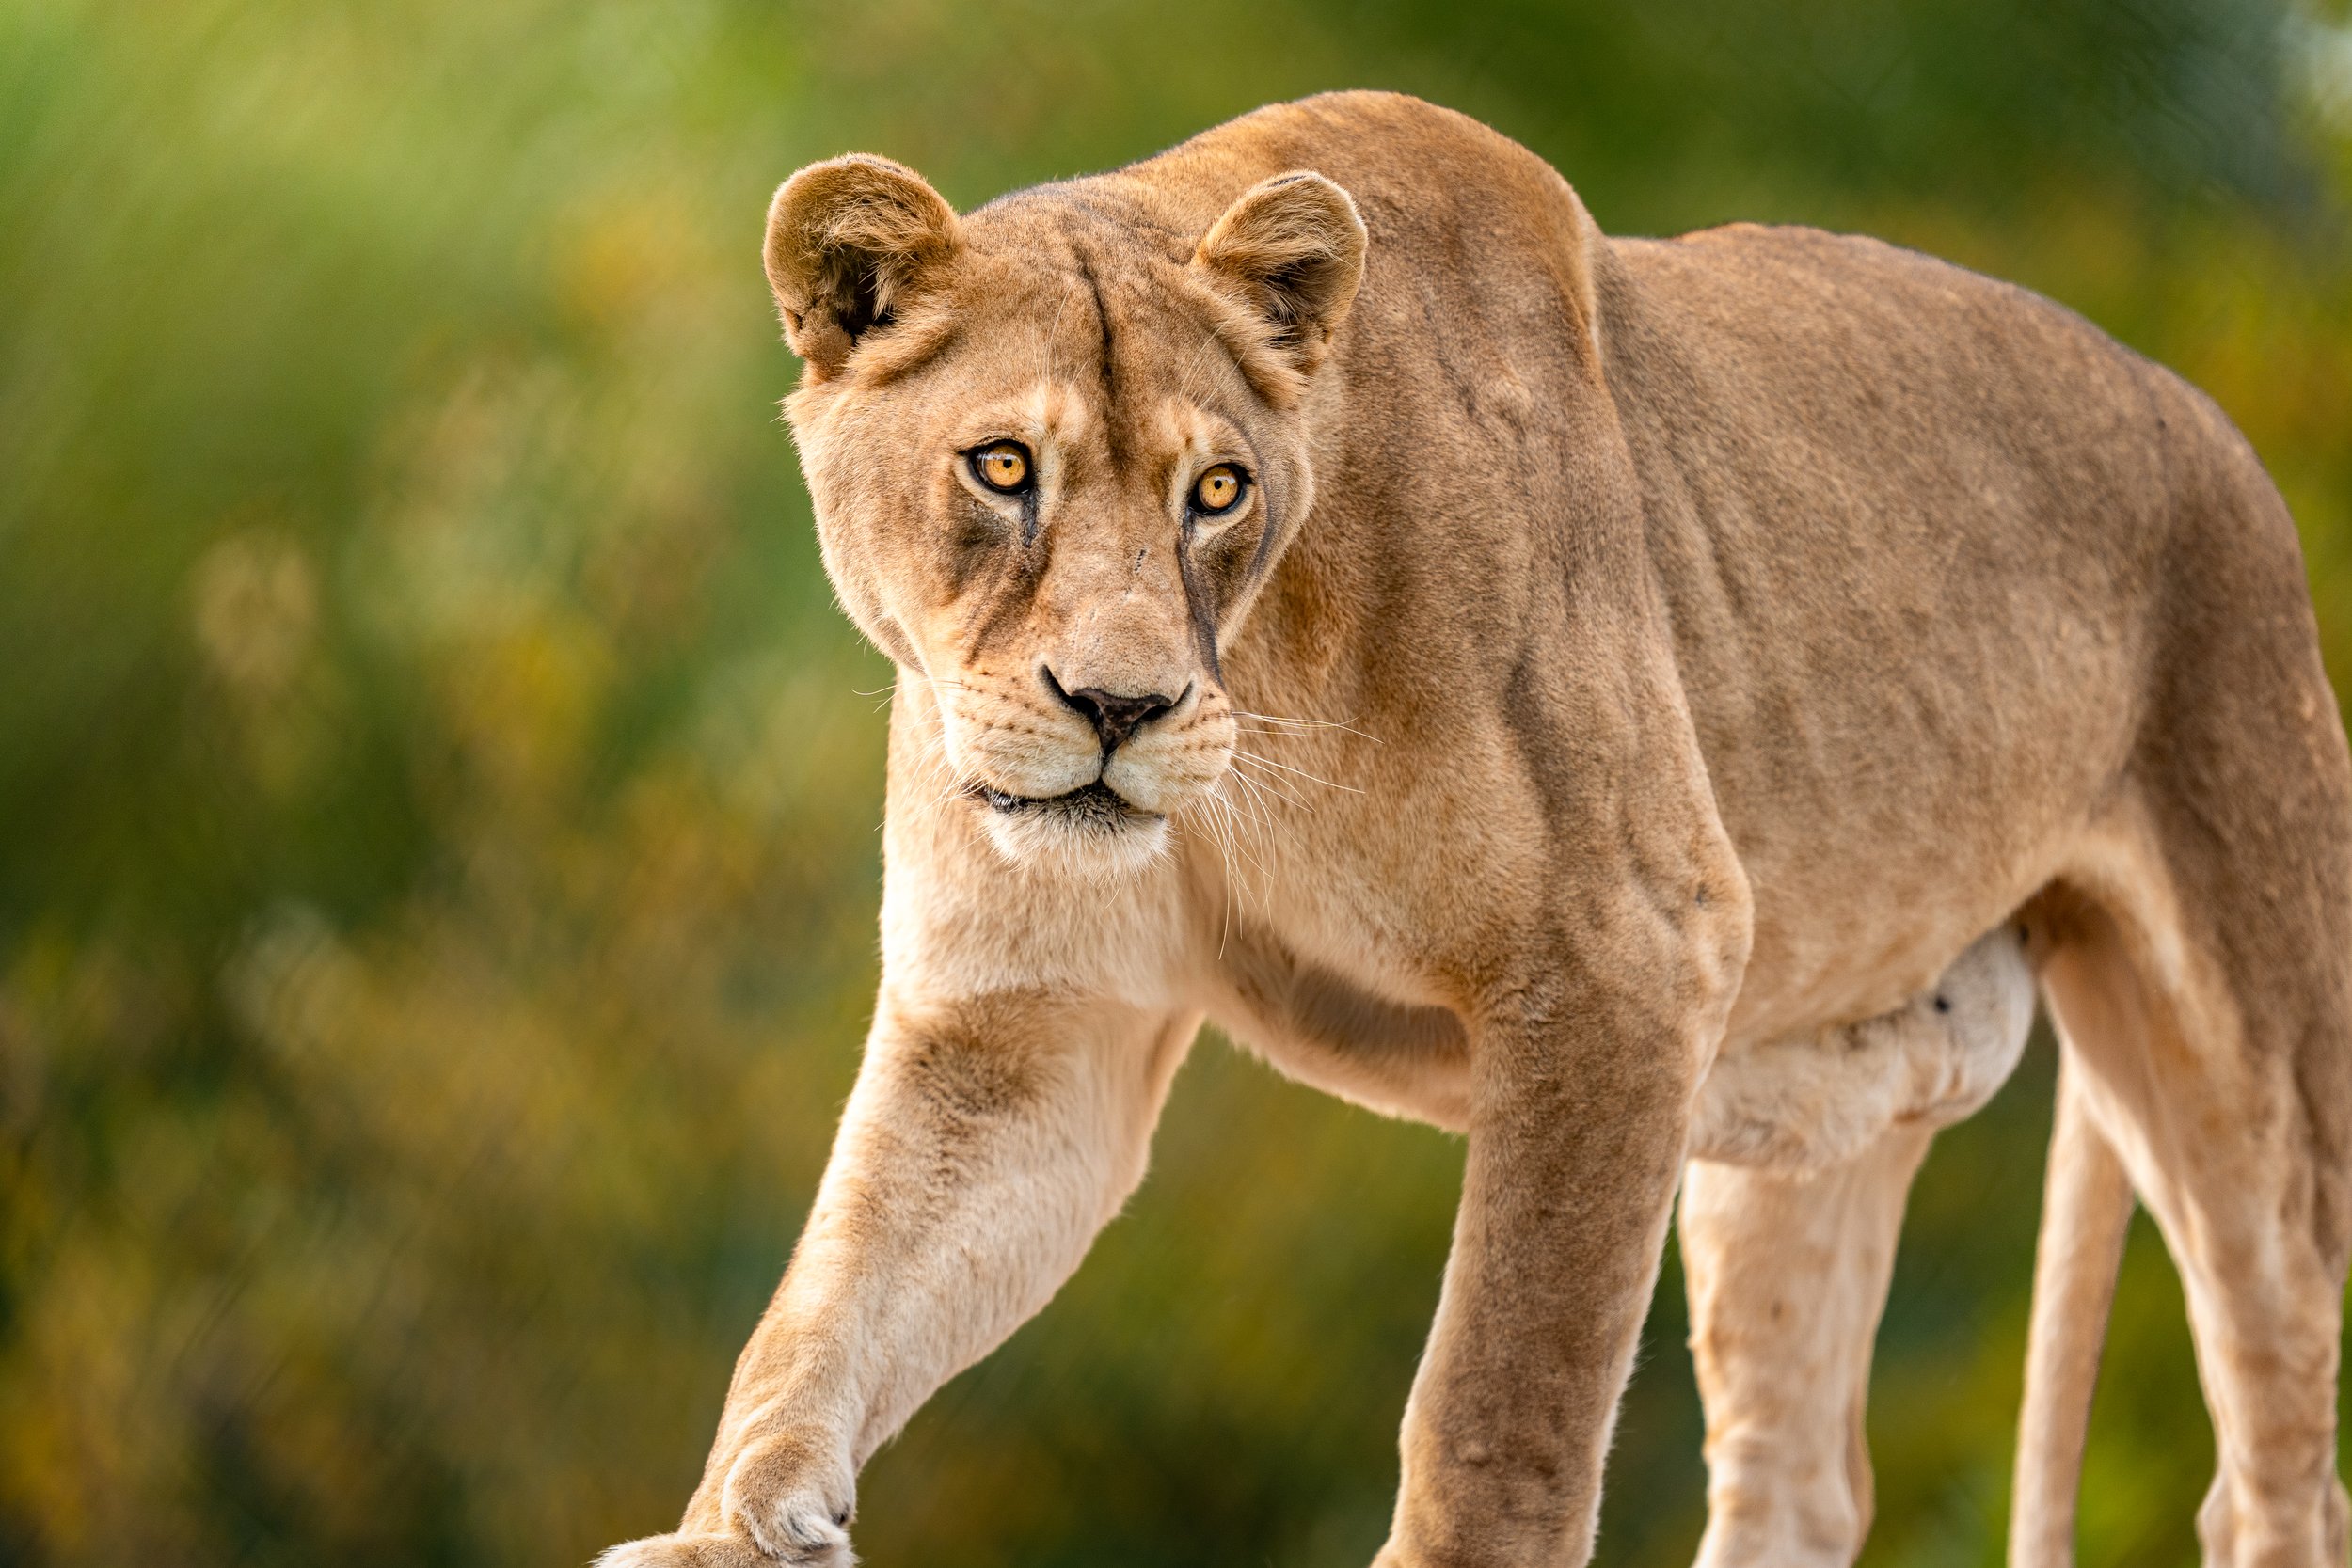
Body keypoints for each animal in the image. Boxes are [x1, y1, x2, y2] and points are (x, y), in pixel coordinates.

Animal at [600, 92, 2352, 1568]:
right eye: (1004, 466)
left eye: (1217, 491)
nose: (1121, 707)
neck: (1266, 689)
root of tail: (2206, 417)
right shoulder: (1030, 1029)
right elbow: (830, 1297)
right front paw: (733, 1521)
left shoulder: (1628, 951)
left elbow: (1502, 1390)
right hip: (1798, 1108)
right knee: (1797, 1476)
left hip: (2249, 1068)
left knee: (2278, 1459)